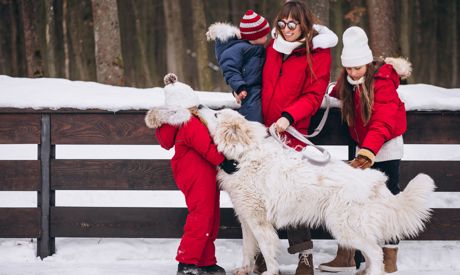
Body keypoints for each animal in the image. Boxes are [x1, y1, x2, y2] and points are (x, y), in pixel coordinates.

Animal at [198, 107, 434, 275]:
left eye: (217, 113)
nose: (199, 105)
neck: (244, 155)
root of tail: (375, 181)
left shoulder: (259, 221)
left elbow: (266, 248)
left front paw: (271, 272)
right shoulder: (246, 219)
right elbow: (248, 249)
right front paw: (244, 270)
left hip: (344, 227)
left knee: (376, 253)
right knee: (372, 253)